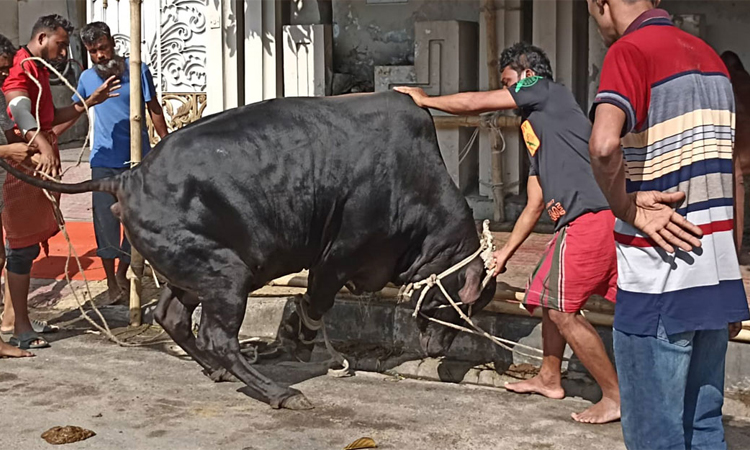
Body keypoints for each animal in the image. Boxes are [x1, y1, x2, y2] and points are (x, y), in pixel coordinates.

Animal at [1, 91, 500, 408]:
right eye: (461, 309)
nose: (438, 349)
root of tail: (129, 176)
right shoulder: (336, 257)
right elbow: (316, 300)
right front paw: (297, 338)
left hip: (196, 271)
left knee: (172, 316)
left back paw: (220, 371)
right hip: (228, 275)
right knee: (216, 337)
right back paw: (280, 393)